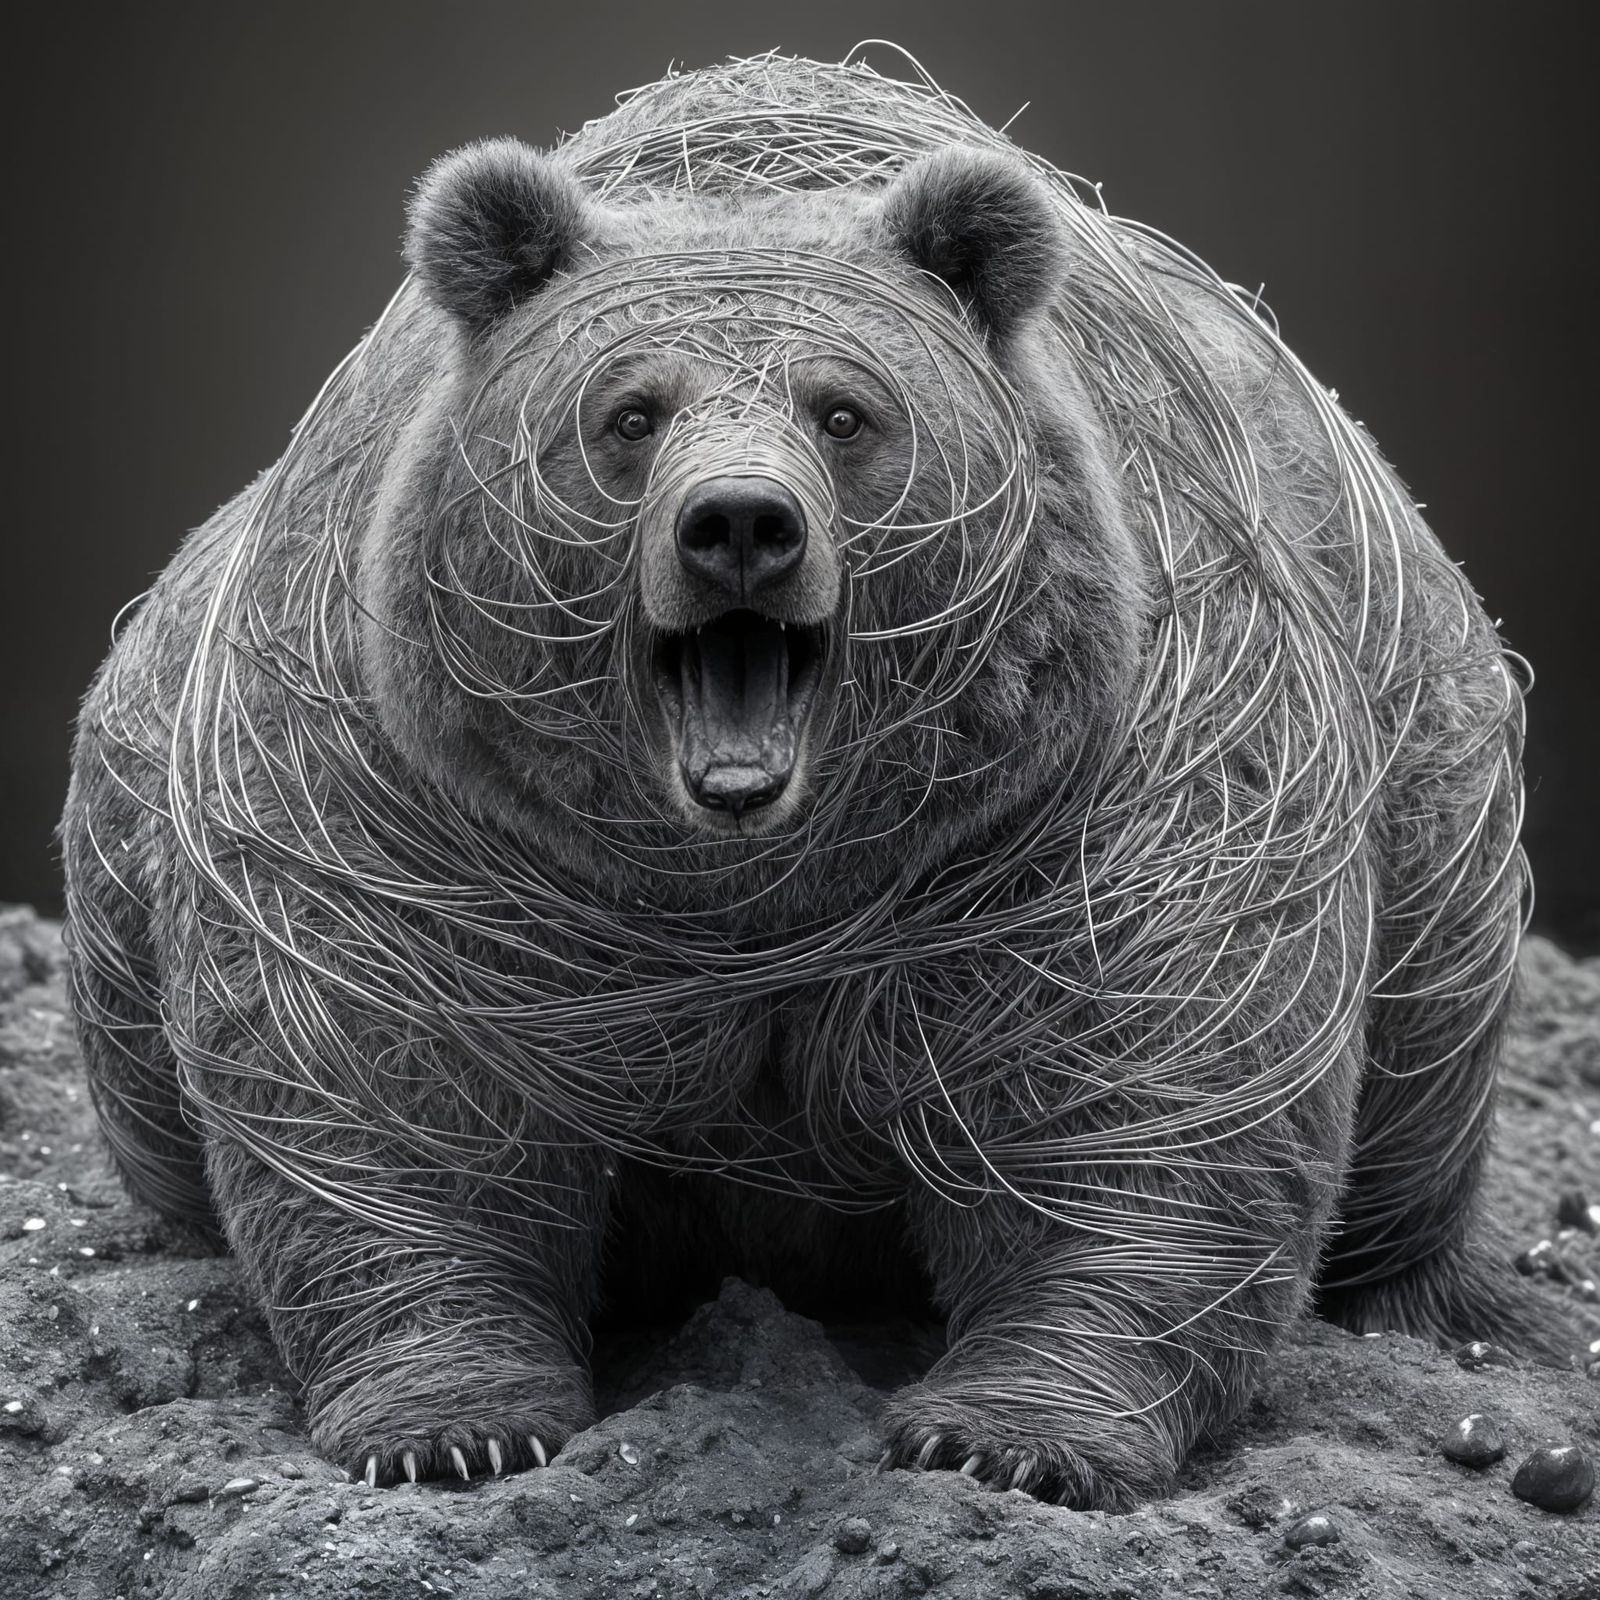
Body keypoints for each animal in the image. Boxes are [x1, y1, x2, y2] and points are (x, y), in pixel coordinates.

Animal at [60, 50, 1546, 1510]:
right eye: (630, 413)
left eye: (844, 411)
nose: (739, 523)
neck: (760, 884)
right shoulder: (424, 824)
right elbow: (387, 1099)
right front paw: (452, 1422)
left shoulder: (1086, 804)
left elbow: (1145, 1098)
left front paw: (1006, 1431)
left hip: (1430, 771)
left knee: (1418, 1083)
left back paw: (1430, 1302)